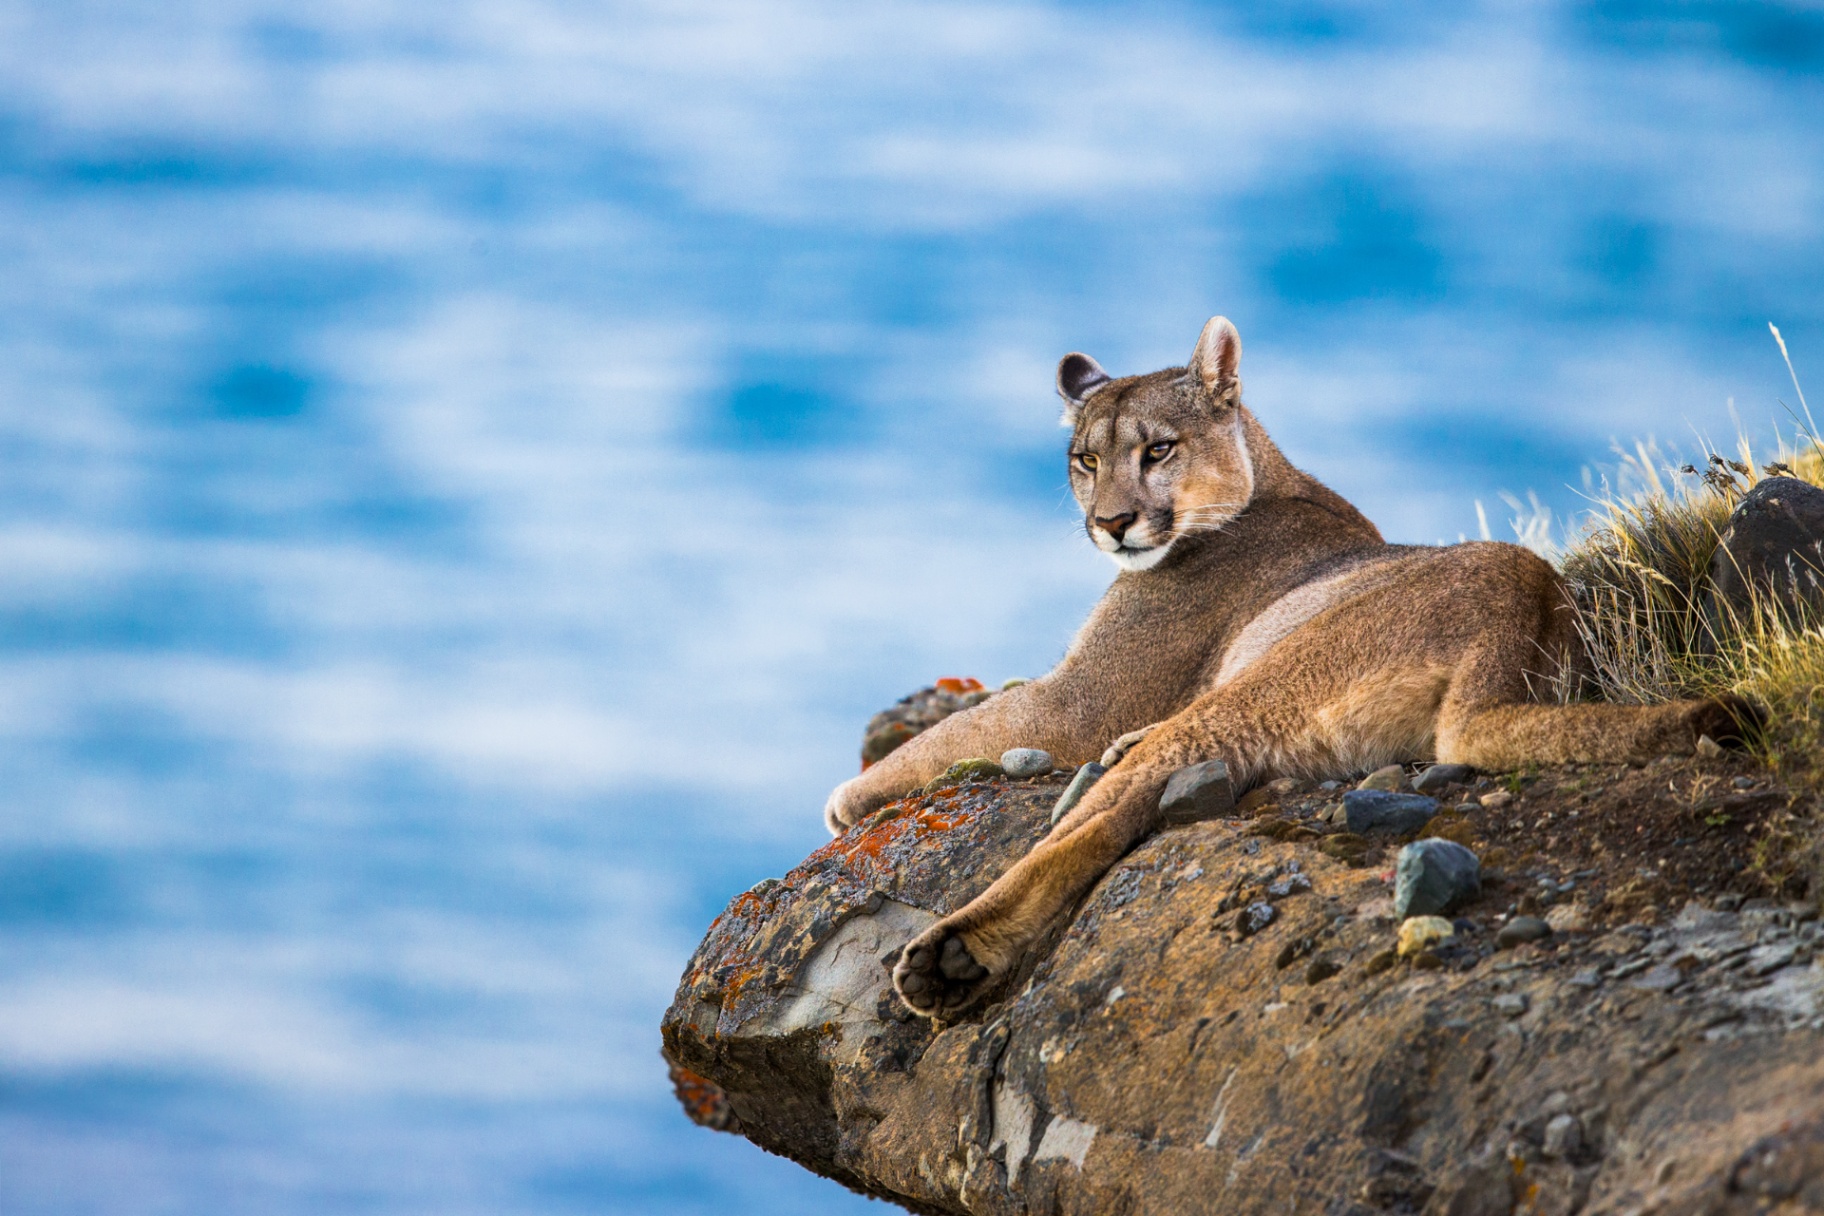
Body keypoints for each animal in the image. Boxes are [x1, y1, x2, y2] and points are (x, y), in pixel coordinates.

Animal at [822, 316, 1752, 1017]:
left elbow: (964, 729)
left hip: (1272, 681)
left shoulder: (1079, 698)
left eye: (1157, 450)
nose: (1112, 523)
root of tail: (1529, 612)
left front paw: (849, 799)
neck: (1259, 479)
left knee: (1102, 818)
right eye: (1085, 459)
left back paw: (954, 955)